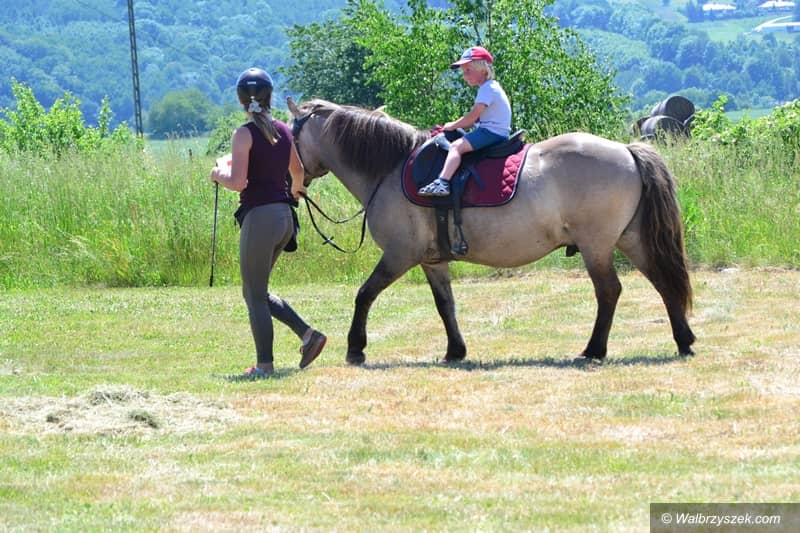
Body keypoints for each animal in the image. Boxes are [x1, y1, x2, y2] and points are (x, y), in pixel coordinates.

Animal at [286, 97, 696, 364]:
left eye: (289, 136)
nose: (291, 184)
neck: (391, 167)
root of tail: (626, 150)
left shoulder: (400, 255)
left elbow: (364, 295)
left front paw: (356, 347)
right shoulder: (432, 261)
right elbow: (445, 305)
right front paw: (455, 351)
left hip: (597, 246)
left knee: (609, 291)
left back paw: (594, 349)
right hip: (631, 239)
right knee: (662, 281)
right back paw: (683, 339)